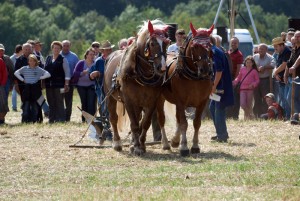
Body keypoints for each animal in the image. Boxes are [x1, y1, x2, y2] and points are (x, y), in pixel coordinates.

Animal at [104, 19, 170, 155]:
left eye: (166, 43)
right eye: (152, 43)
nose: (161, 68)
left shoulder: (151, 101)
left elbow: (144, 123)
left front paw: (140, 144)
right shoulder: (129, 101)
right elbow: (134, 124)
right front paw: (137, 147)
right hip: (110, 97)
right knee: (113, 118)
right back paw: (117, 143)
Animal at [156, 22, 214, 157]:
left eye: (209, 45)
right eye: (195, 46)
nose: (205, 69)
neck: (194, 77)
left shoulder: (202, 102)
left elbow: (196, 123)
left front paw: (195, 146)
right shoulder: (181, 102)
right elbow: (184, 123)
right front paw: (184, 147)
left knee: (177, 118)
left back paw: (175, 140)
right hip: (160, 99)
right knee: (161, 119)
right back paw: (166, 143)